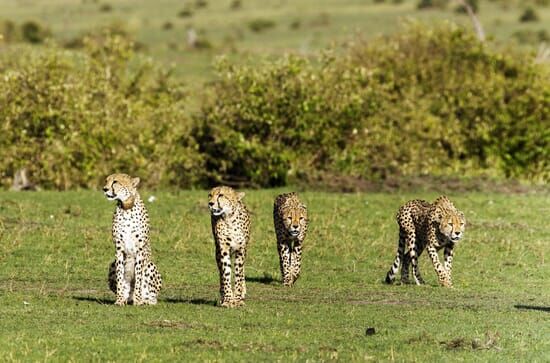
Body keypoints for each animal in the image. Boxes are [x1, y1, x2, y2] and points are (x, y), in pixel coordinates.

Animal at [103, 175, 163, 306]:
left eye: (115, 182)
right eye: (106, 181)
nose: (104, 189)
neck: (127, 208)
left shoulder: (140, 249)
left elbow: (139, 277)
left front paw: (138, 300)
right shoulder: (119, 249)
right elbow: (120, 276)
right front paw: (120, 299)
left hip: (150, 265)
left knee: (152, 297)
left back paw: (144, 300)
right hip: (112, 264)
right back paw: (126, 298)